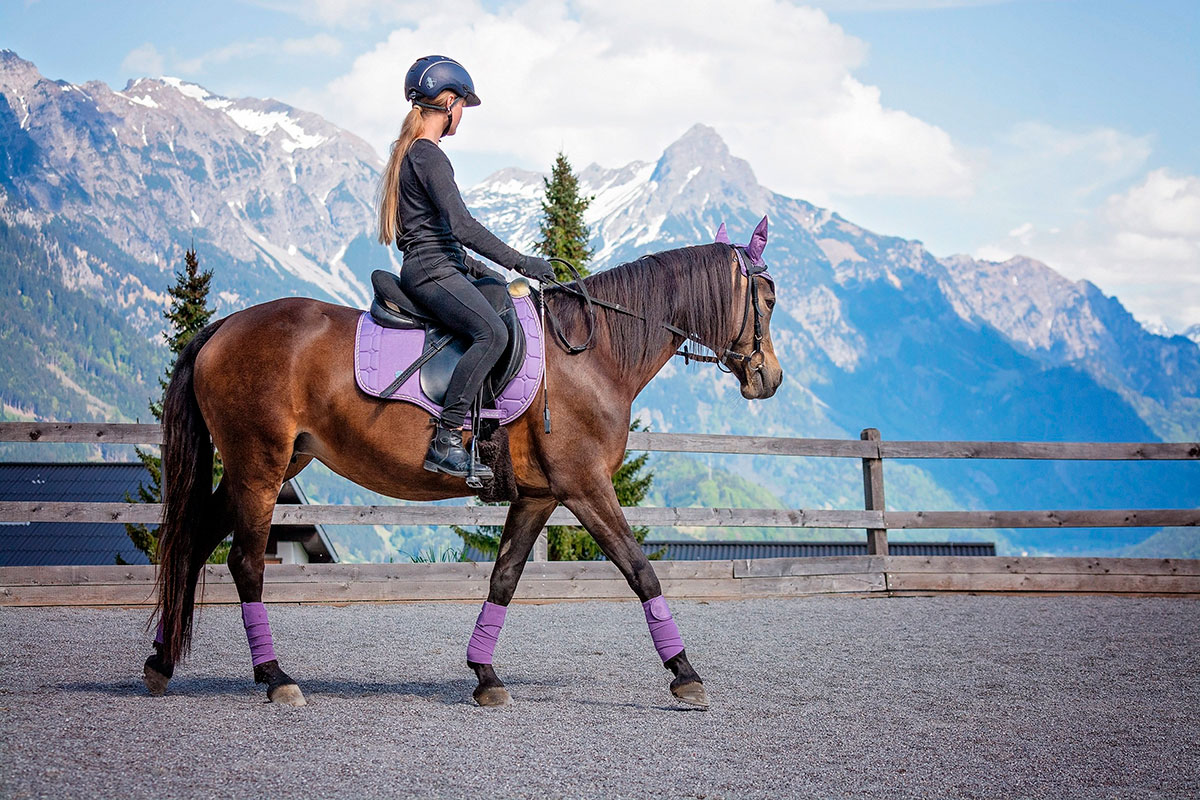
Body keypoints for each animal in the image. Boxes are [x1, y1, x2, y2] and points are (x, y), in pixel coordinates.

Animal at [145, 219, 782, 705]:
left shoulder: (539, 496)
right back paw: (275, 678)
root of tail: (224, 326)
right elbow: (639, 569)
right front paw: (685, 674)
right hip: (260, 465)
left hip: (269, 465)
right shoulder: (585, 487)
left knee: (194, 541)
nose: (770, 379)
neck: (592, 354)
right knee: (245, 563)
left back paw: (161, 663)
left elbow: (504, 578)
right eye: (769, 299)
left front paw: (485, 677)